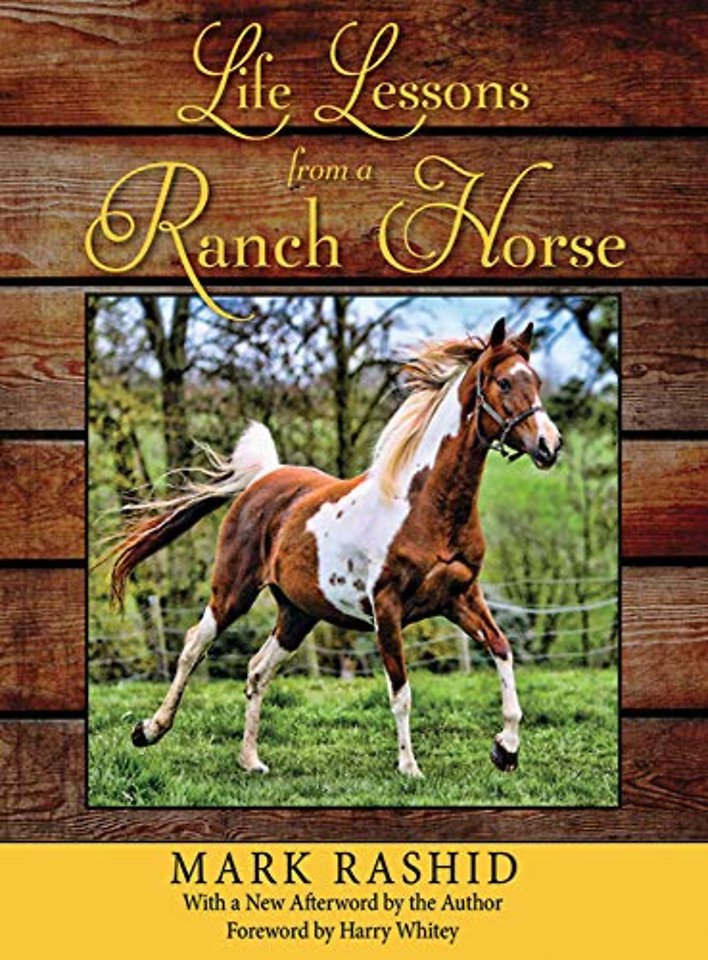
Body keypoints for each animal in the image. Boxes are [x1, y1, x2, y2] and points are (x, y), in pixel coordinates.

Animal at [108, 317, 562, 778]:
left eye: (536, 380)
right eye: (504, 382)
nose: (550, 445)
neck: (426, 508)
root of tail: (264, 476)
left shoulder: (462, 597)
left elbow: (502, 650)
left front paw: (506, 748)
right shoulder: (388, 610)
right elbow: (401, 692)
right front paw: (410, 768)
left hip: (298, 612)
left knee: (256, 671)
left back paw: (250, 760)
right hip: (232, 592)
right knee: (193, 646)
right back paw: (149, 730)